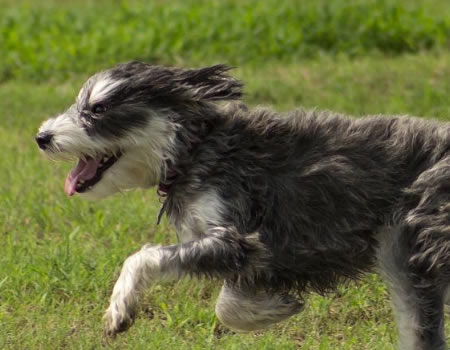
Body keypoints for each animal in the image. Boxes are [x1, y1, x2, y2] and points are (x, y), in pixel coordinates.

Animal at [37, 61, 448, 348]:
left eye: (98, 109)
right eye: (80, 103)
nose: (42, 137)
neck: (194, 151)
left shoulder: (236, 237)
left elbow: (148, 260)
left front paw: (119, 310)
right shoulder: (234, 249)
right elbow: (231, 303)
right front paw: (273, 306)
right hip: (402, 255)